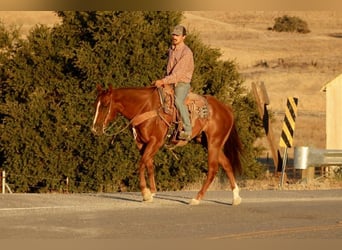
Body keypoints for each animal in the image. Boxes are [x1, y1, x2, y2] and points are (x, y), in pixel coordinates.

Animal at [90, 84, 243, 205]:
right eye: (95, 104)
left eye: (105, 105)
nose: (95, 129)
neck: (146, 107)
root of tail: (226, 108)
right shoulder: (142, 143)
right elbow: (149, 164)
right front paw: (152, 192)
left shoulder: (155, 141)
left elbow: (141, 163)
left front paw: (145, 193)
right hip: (209, 143)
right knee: (227, 165)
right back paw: (235, 198)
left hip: (213, 143)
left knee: (213, 169)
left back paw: (196, 198)